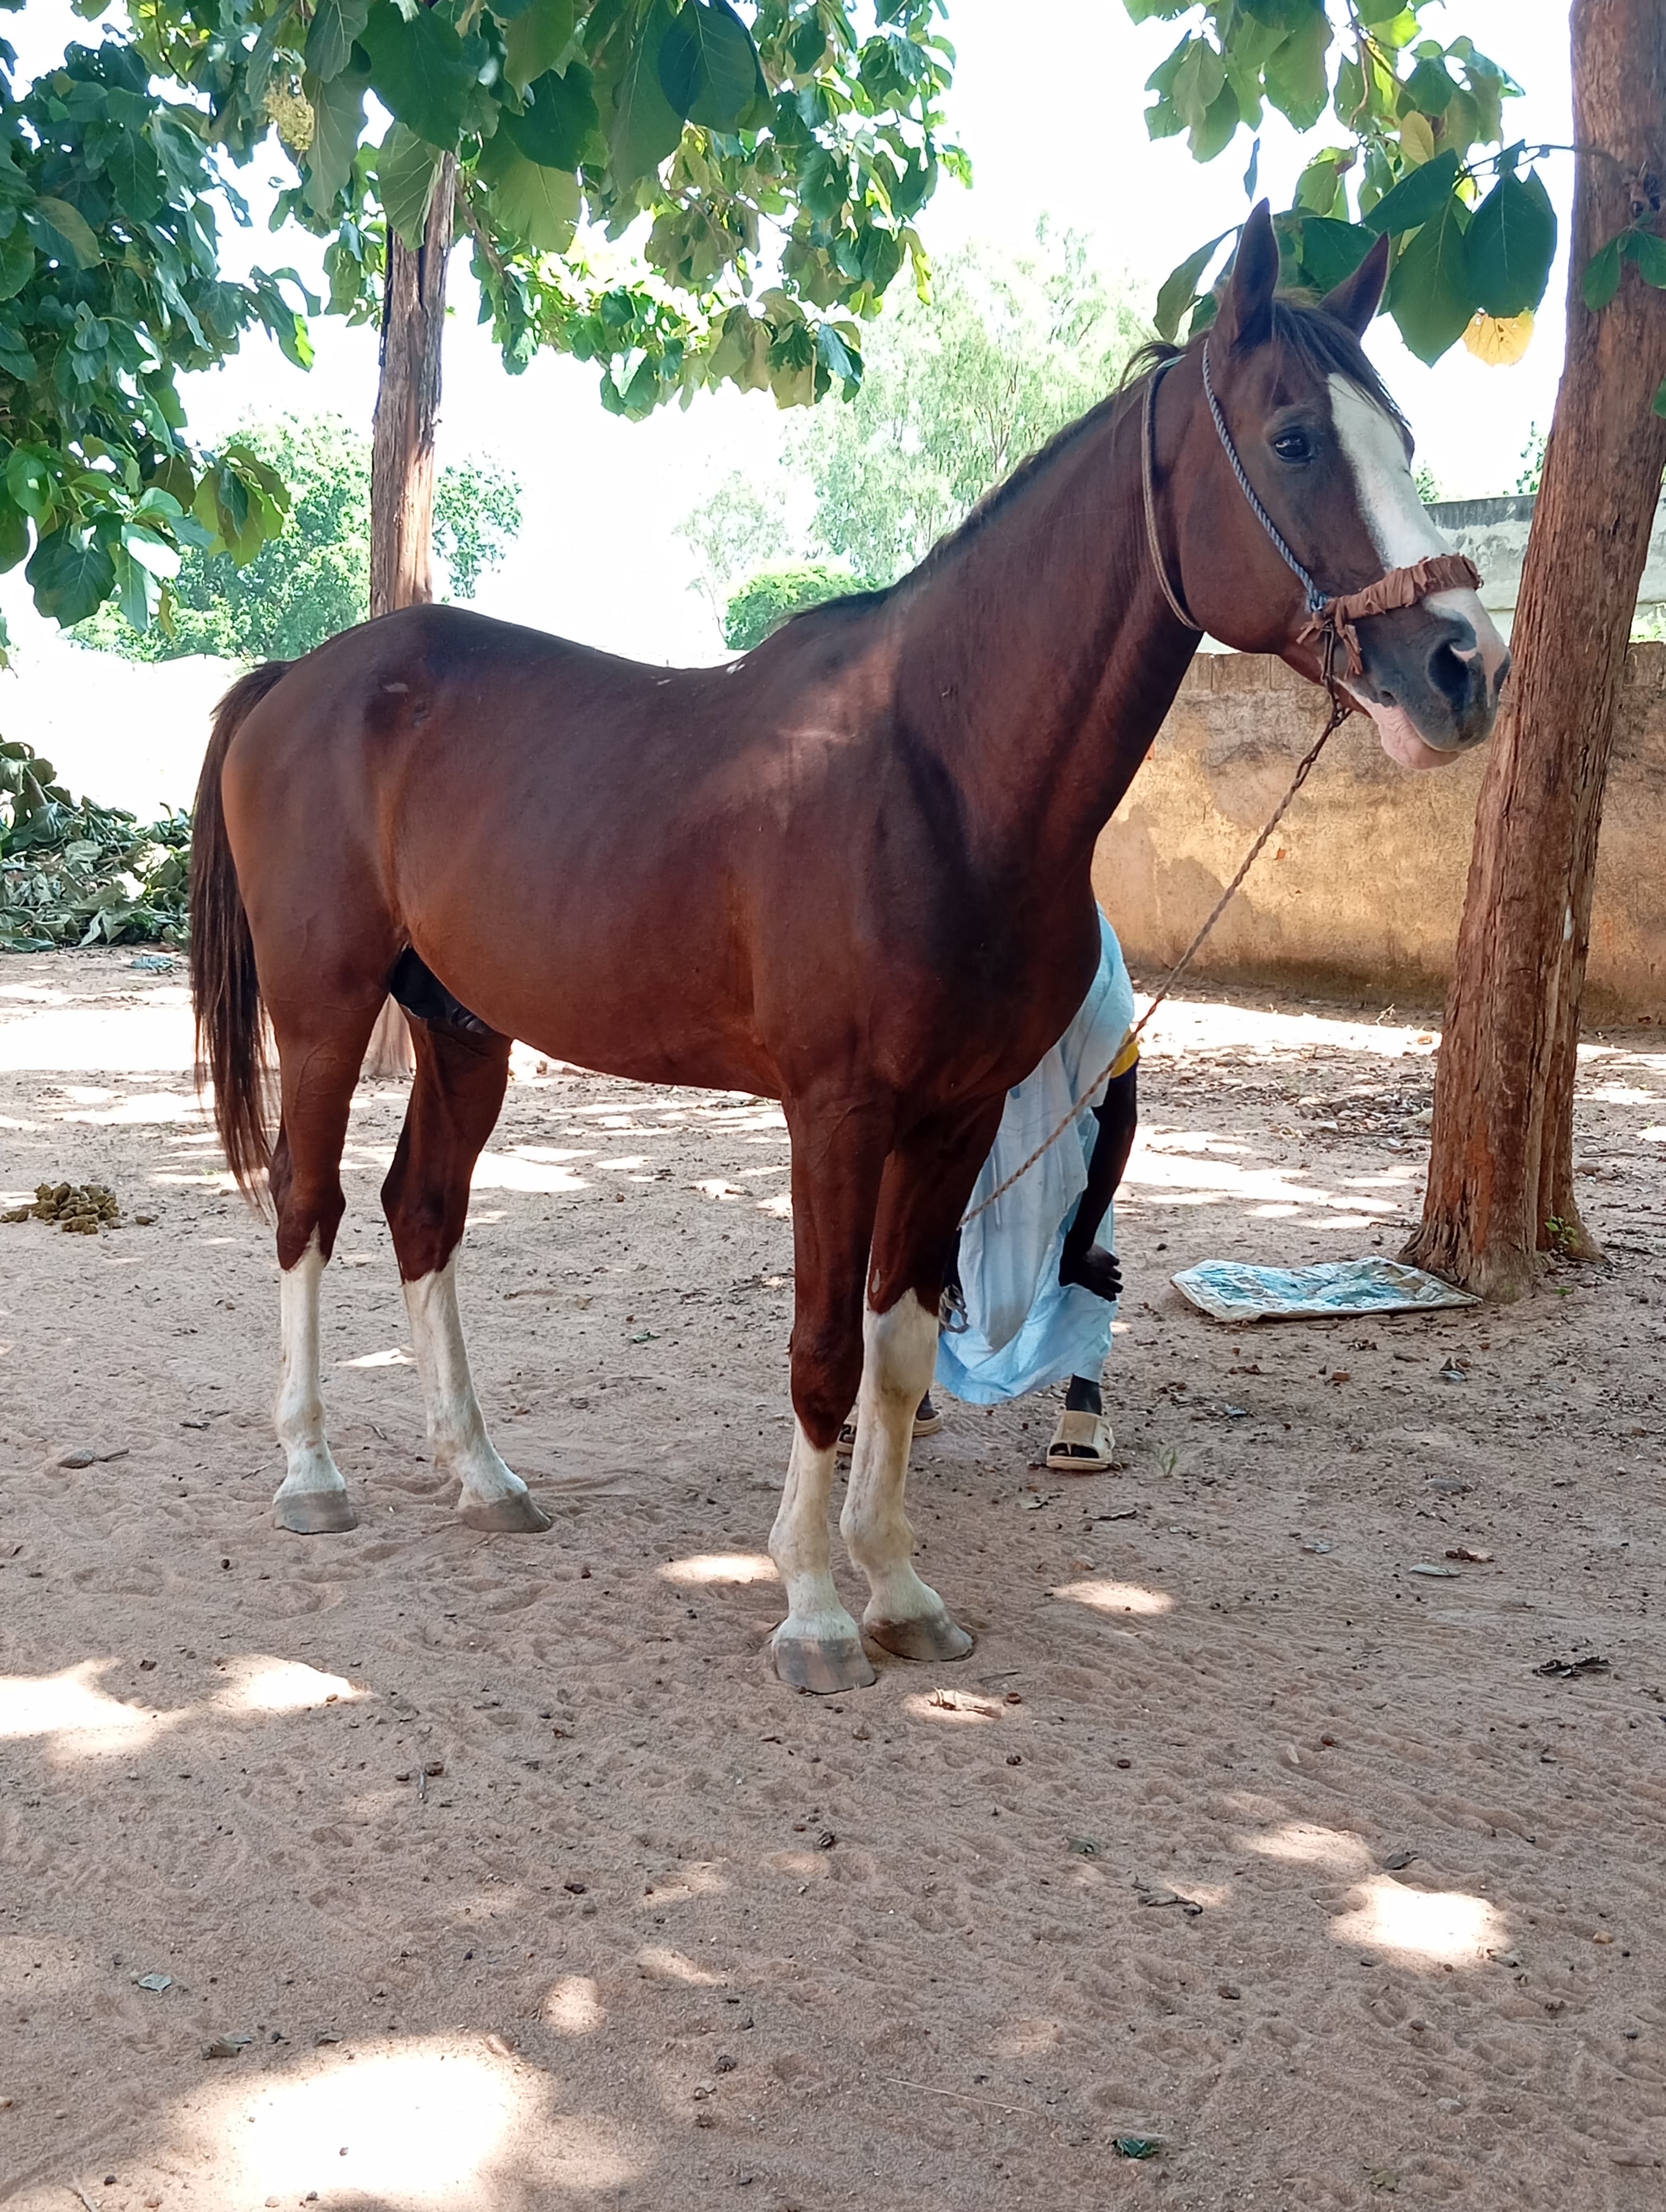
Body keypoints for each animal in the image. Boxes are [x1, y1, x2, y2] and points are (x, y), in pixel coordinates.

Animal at [189, 205, 1509, 1695]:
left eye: (1400, 437)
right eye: (1290, 437)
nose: (1463, 668)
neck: (935, 770)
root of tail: (296, 679)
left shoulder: (954, 1117)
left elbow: (899, 1345)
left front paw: (899, 1588)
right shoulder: (835, 1113)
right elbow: (822, 1347)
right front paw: (815, 1611)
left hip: (463, 1025)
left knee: (424, 1210)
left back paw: (481, 1472)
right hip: (326, 1009)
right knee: (307, 1203)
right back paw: (311, 1471)